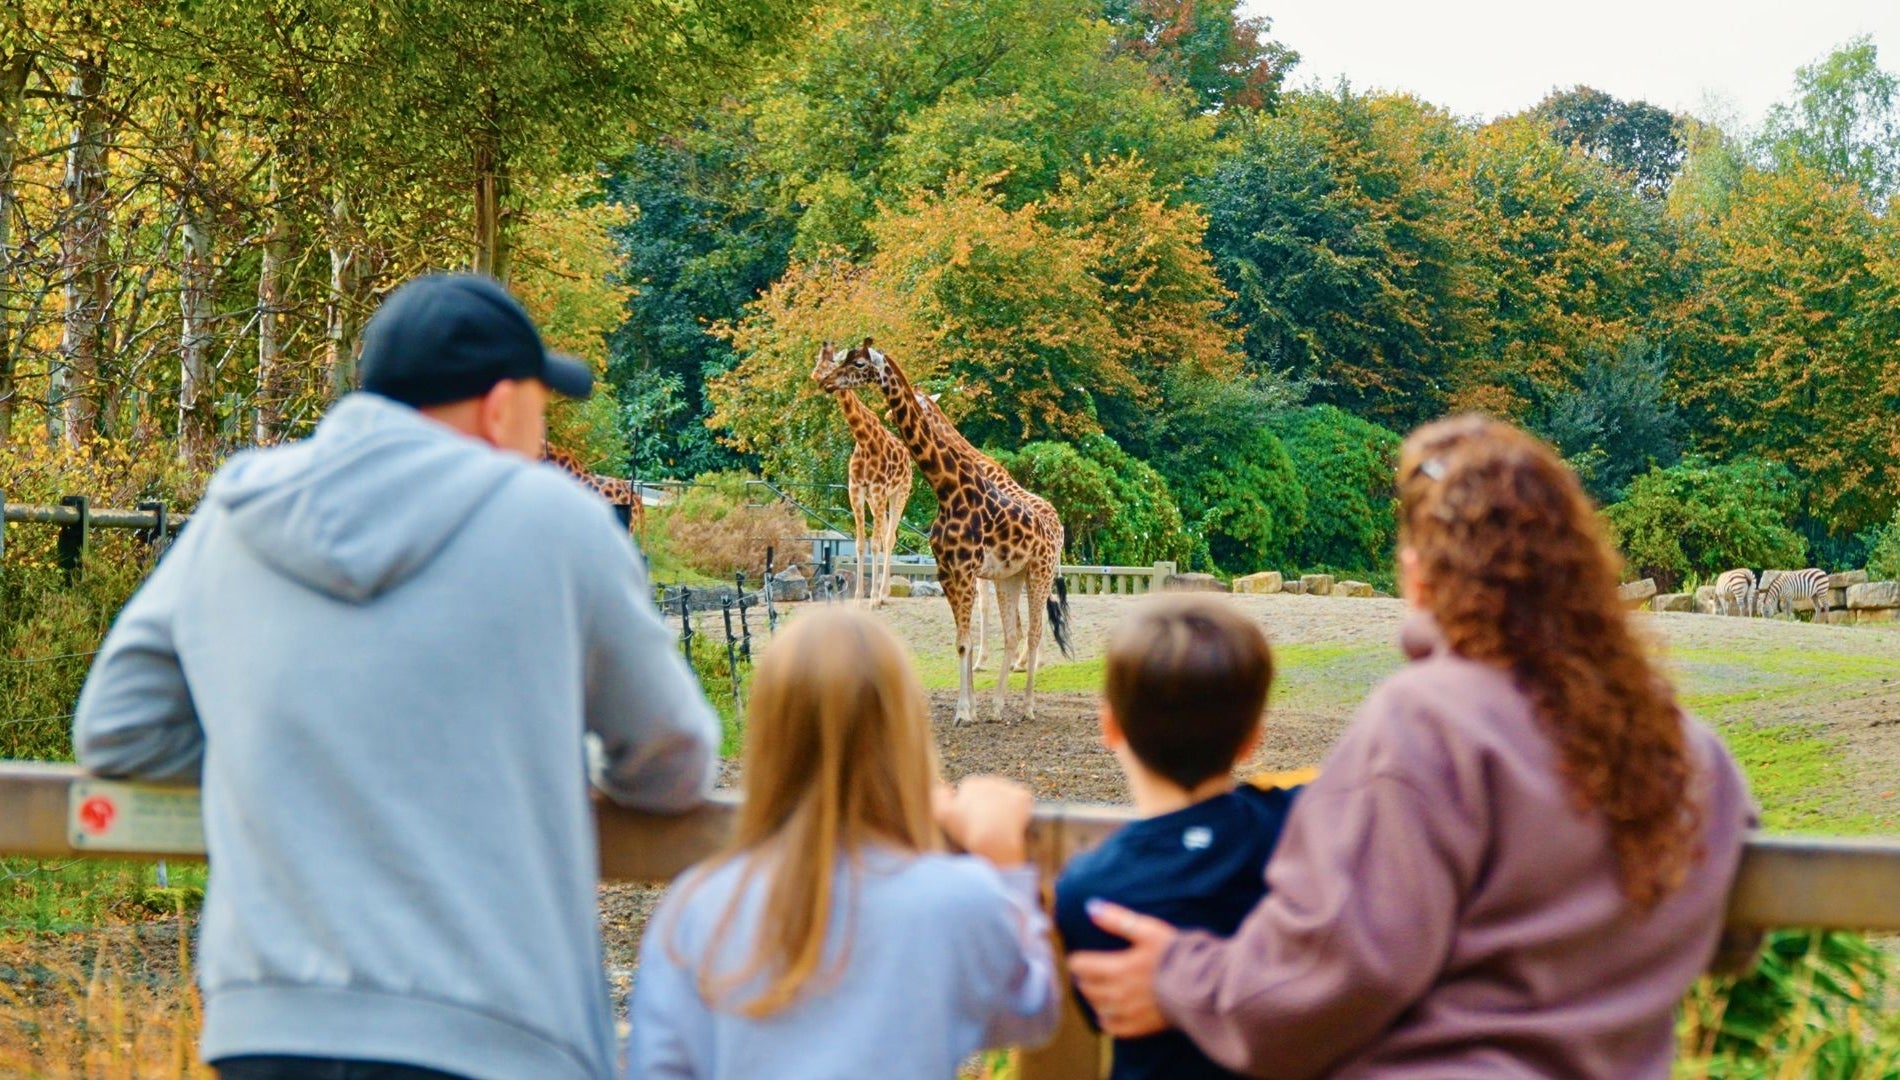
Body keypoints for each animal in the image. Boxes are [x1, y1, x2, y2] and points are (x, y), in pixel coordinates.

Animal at [813, 342, 913, 606]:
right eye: (817, 360)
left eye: (832, 362)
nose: (819, 377)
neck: (865, 440)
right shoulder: (856, 491)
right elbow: (860, 544)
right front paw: (859, 597)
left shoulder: (878, 490)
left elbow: (875, 543)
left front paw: (873, 599)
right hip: (876, 499)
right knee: (889, 533)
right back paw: (884, 592)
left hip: (900, 492)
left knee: (889, 537)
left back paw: (883, 595)